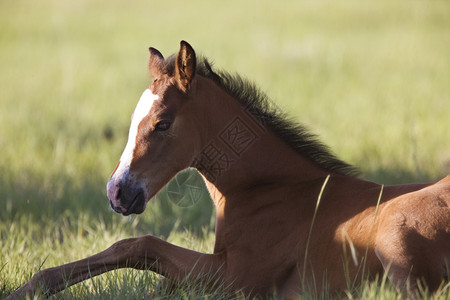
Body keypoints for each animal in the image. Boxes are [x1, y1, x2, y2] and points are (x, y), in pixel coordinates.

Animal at [7, 41, 450, 298]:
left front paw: (27, 288)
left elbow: (138, 244)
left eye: (162, 123)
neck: (269, 190)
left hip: (395, 237)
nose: (117, 192)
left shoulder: (235, 278)